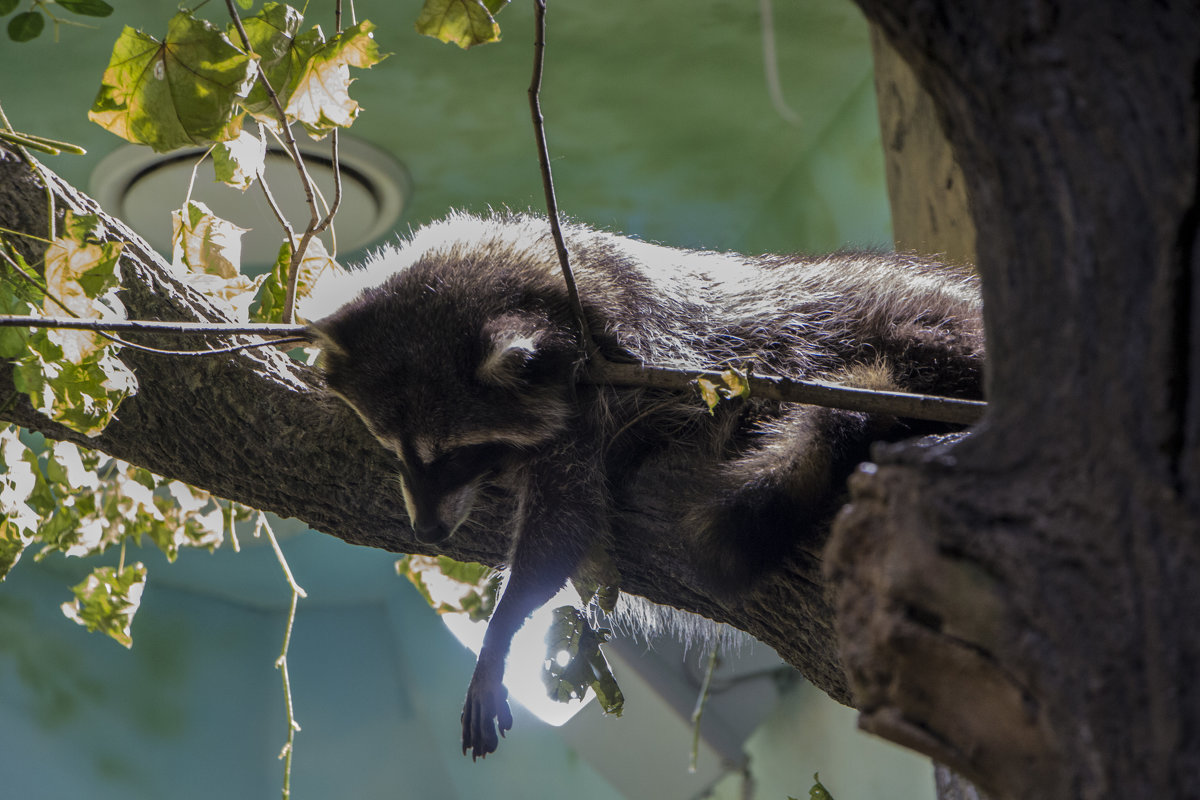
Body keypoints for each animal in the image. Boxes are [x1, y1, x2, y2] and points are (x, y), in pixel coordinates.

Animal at [307, 209, 984, 762]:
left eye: (452, 456)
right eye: (395, 452)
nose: (427, 530)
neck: (548, 277)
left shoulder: (610, 383)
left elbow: (565, 523)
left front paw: (501, 629)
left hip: (914, 332)